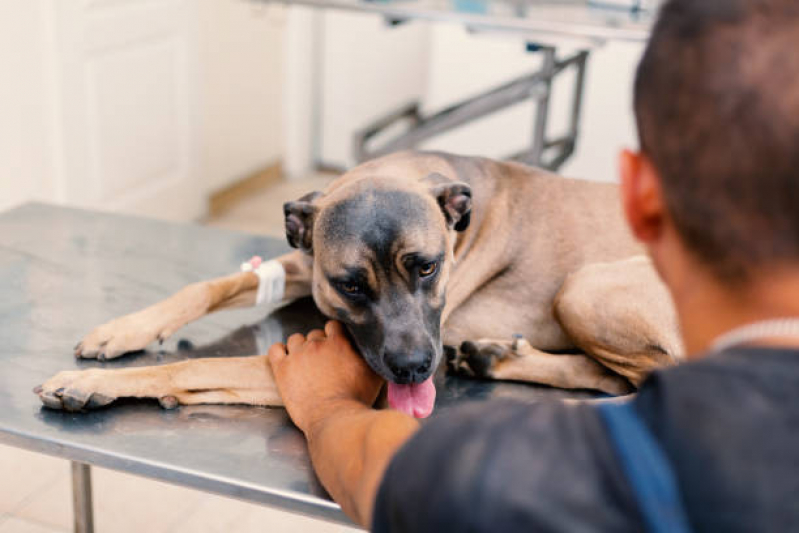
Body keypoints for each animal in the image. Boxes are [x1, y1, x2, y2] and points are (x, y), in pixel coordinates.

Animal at [37, 150, 684, 416]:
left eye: (428, 267)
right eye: (350, 285)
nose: (414, 371)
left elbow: (191, 367)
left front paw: (92, 384)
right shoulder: (305, 266)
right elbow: (205, 287)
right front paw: (124, 329)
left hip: (587, 285)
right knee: (611, 377)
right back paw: (494, 357)